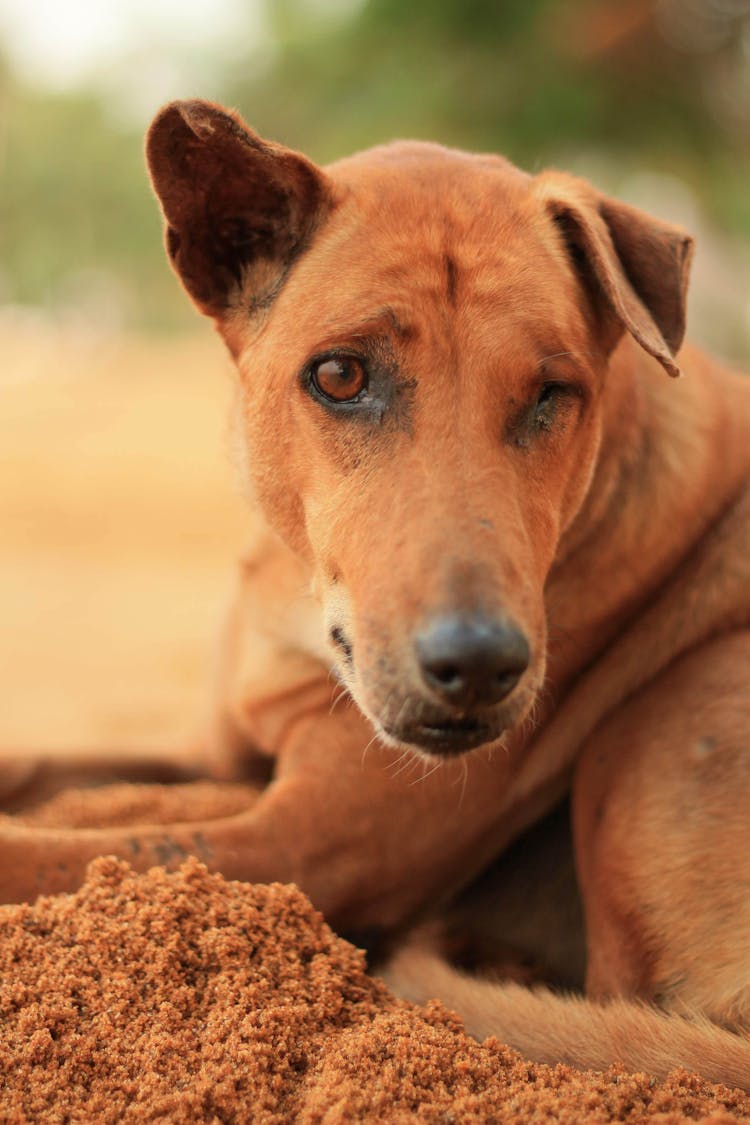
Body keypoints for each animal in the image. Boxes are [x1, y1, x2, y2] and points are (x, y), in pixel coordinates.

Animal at [2, 101, 746, 1084]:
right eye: (340, 375)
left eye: (553, 392)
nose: (481, 664)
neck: (298, 600)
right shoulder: (217, 753)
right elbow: (41, 776)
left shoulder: (303, 845)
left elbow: (52, 857)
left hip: (660, 721)